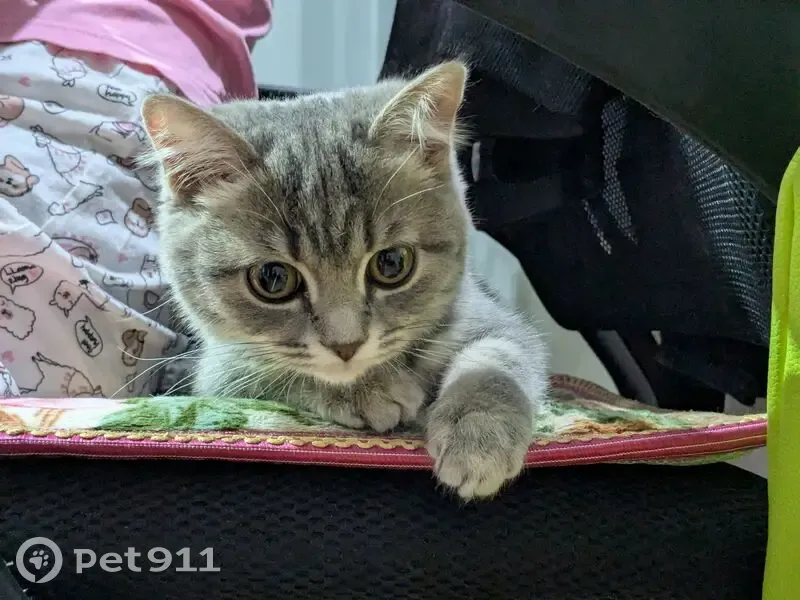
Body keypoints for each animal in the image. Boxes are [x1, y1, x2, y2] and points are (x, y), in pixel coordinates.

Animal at [141, 61, 549, 500]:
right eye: (273, 279)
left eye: (392, 263)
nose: (346, 346)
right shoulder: (221, 368)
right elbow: (277, 370)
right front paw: (365, 392)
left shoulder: (484, 314)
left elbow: (501, 354)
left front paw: (478, 433)